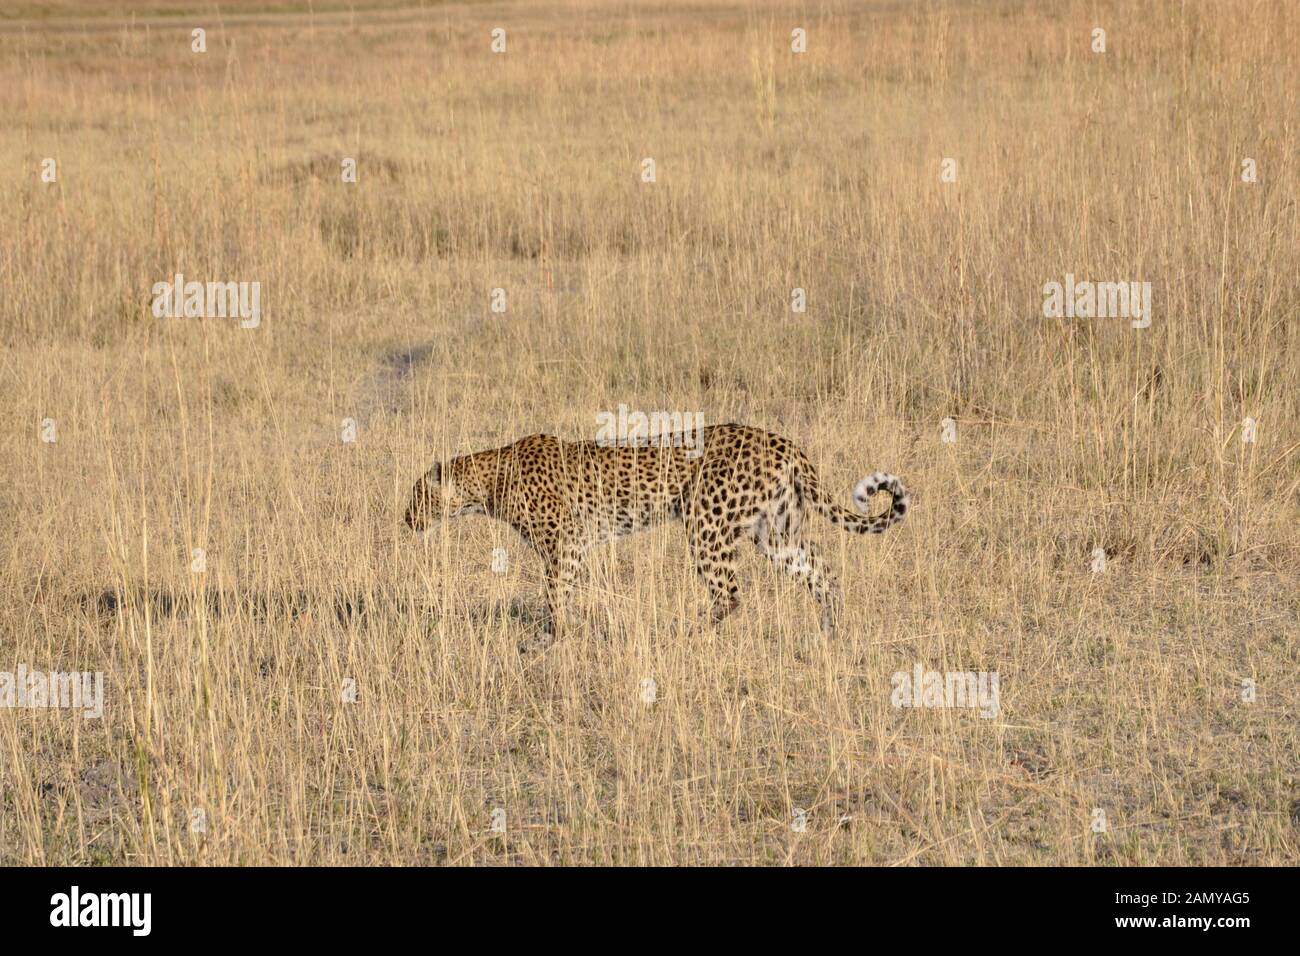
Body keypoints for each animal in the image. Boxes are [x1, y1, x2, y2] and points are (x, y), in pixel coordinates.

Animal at [400, 424, 909, 634]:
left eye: (417, 496)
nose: (405, 519)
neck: (486, 482)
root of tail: (782, 440)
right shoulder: (576, 546)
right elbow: (563, 590)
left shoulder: (565, 542)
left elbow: (555, 593)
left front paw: (555, 635)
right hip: (776, 533)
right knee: (822, 572)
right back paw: (830, 631)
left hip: (706, 524)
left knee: (730, 592)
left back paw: (689, 633)